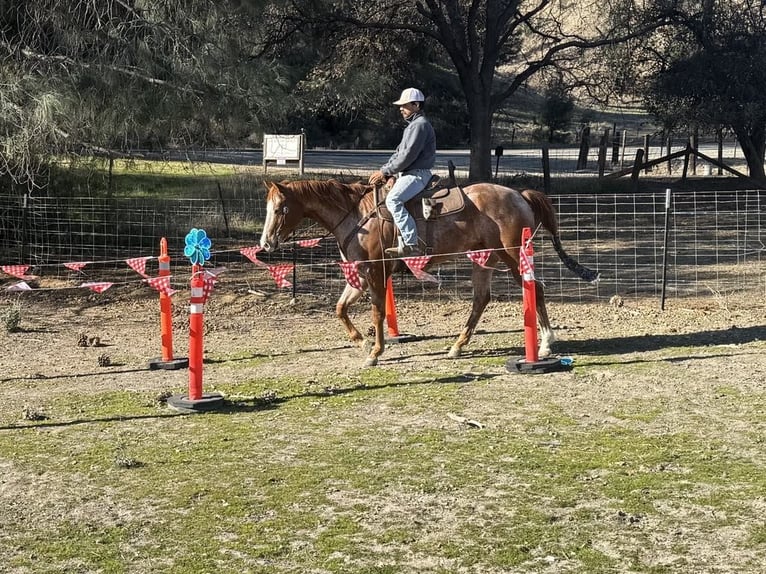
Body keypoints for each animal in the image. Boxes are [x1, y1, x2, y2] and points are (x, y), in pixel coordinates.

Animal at [259, 179, 597, 366]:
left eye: (279, 209)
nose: (265, 243)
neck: (356, 216)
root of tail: (519, 195)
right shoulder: (359, 275)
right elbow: (340, 308)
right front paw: (362, 342)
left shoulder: (376, 273)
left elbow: (377, 312)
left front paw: (375, 351)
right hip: (485, 258)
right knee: (481, 299)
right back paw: (457, 346)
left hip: (514, 257)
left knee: (534, 288)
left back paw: (546, 342)